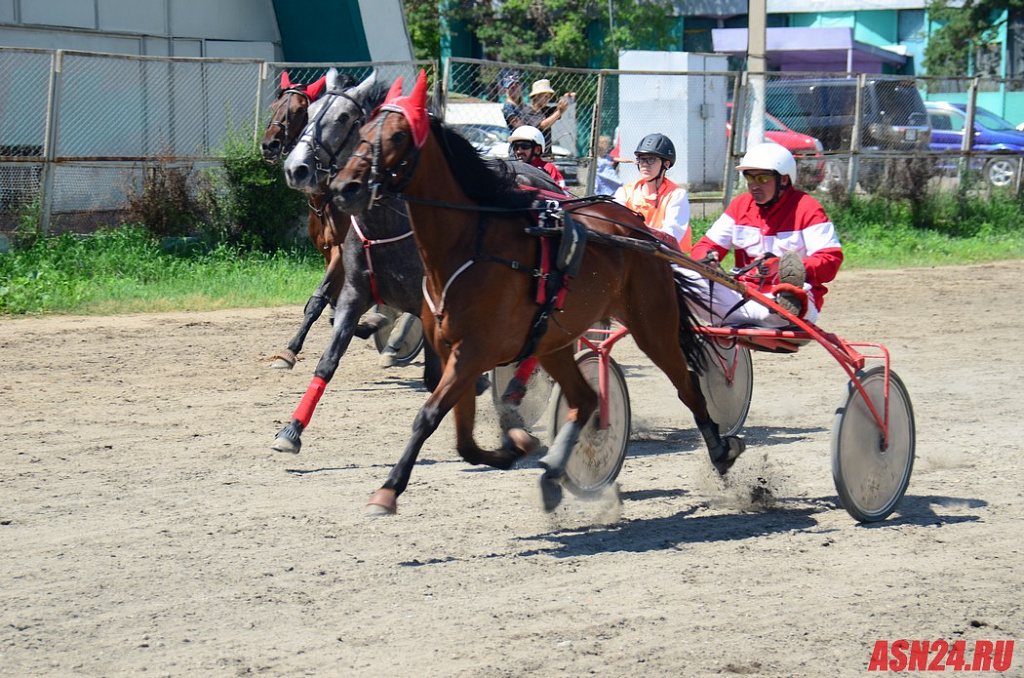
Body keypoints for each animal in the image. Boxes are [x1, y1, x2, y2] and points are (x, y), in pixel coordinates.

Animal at [327, 70, 745, 516]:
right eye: (364, 131)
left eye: (399, 136)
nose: (345, 186)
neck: (468, 245)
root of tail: (639, 229)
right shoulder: (454, 351)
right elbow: (464, 442)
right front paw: (516, 445)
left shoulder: (473, 352)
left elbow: (429, 415)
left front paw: (388, 490)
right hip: (553, 340)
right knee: (586, 399)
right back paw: (552, 476)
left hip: (652, 325)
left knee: (687, 384)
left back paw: (721, 449)